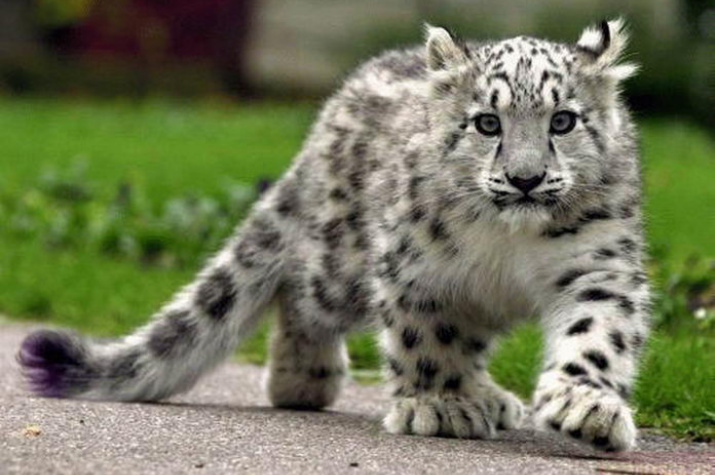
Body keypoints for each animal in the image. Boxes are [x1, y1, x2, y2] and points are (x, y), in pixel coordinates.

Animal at [18, 18, 650, 452]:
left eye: (562, 120)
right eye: (487, 123)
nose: (525, 179)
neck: (511, 244)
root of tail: (323, 121)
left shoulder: (600, 266)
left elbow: (597, 333)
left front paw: (586, 406)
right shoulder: (418, 269)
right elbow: (429, 339)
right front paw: (441, 406)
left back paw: (490, 397)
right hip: (339, 266)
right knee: (300, 294)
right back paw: (303, 379)